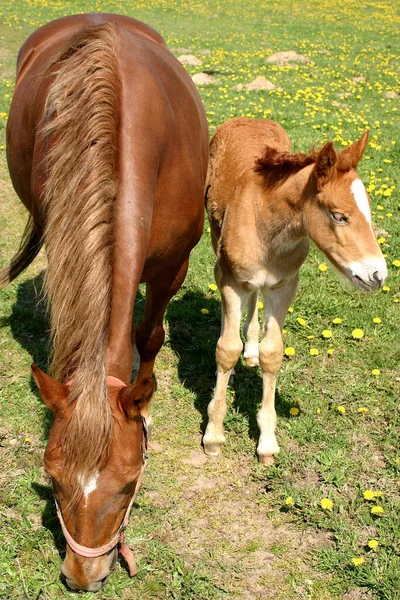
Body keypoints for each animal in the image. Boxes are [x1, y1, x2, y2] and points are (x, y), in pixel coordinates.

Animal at [203, 116, 388, 464]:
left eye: (370, 212)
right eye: (339, 216)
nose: (377, 275)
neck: (266, 223)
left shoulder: (285, 285)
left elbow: (273, 353)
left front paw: (266, 442)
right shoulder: (232, 281)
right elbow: (226, 349)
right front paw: (214, 435)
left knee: (255, 299)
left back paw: (251, 348)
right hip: (216, 242)